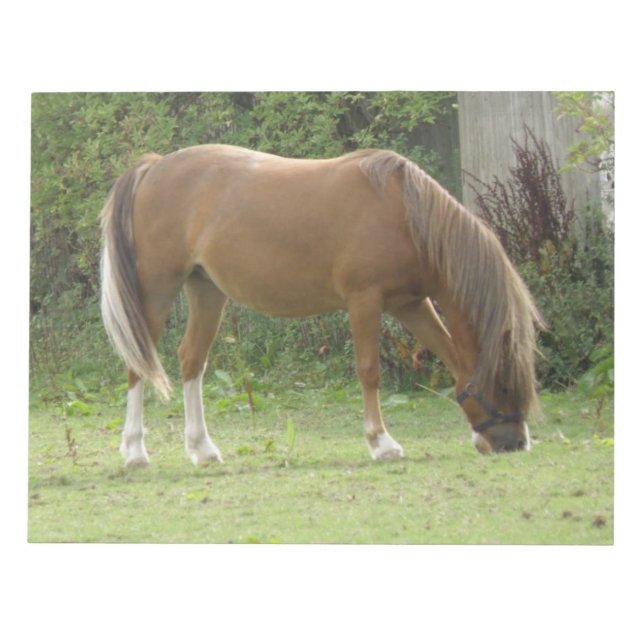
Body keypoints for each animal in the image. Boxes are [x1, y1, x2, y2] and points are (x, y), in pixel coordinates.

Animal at [100, 144, 542, 467]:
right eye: (505, 384)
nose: (514, 443)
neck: (406, 216)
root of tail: (154, 167)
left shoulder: (412, 305)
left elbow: (451, 356)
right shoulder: (365, 301)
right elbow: (369, 371)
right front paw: (381, 443)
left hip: (206, 290)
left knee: (192, 359)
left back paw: (202, 449)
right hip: (157, 288)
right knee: (139, 363)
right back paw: (135, 452)